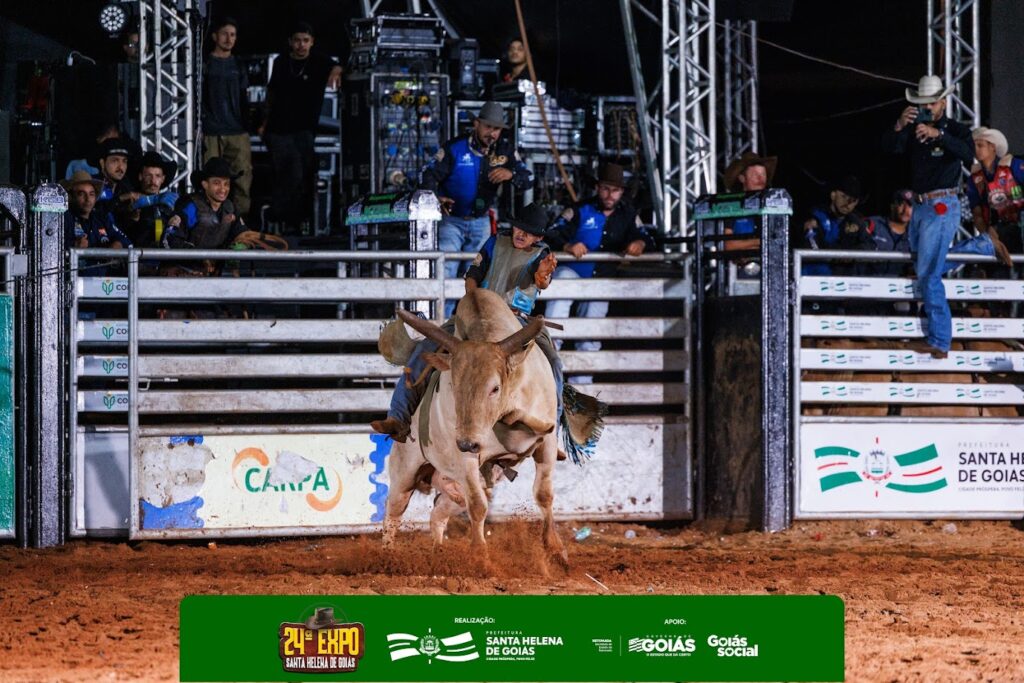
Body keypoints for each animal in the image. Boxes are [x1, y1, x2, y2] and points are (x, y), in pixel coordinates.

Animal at [380, 287, 567, 565]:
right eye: (453, 385)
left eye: (495, 388)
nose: (468, 442)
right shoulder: (463, 458)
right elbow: (478, 506)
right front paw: (480, 557)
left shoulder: (547, 441)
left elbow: (544, 494)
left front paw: (555, 548)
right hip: (406, 471)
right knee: (394, 509)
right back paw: (387, 556)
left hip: (454, 489)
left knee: (438, 513)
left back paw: (438, 551)